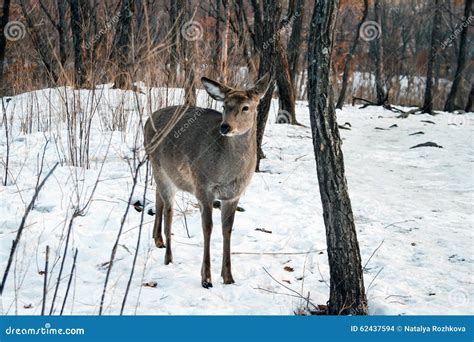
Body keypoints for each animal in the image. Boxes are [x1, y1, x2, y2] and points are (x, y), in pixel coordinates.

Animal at [143, 74, 270, 288]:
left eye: (246, 107)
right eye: (224, 105)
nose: (225, 127)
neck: (227, 169)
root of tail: (146, 121)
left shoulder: (233, 195)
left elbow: (227, 229)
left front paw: (228, 277)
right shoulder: (203, 187)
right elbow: (208, 227)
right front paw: (206, 278)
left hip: (167, 174)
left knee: (158, 196)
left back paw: (158, 240)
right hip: (159, 167)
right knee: (169, 211)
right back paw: (168, 257)